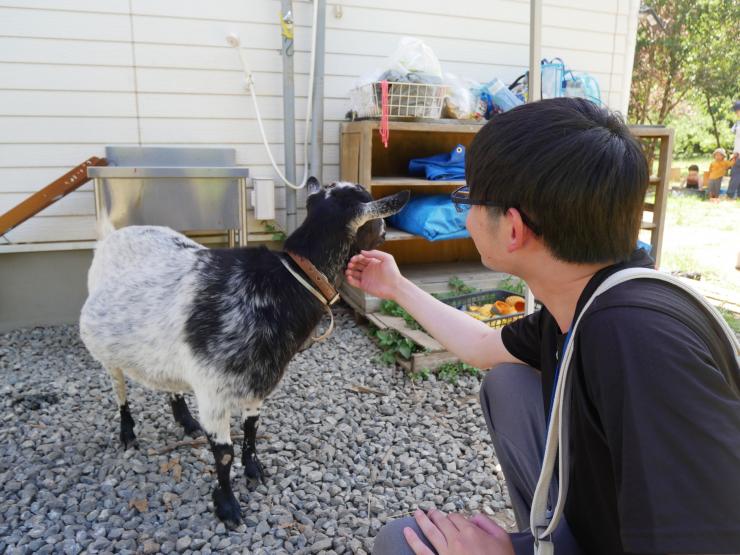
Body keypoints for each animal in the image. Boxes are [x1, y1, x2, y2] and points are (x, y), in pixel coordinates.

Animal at [79, 180, 410, 528]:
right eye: (375, 217)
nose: (386, 232)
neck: (284, 286)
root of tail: (113, 235)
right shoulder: (213, 392)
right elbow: (224, 453)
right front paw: (227, 506)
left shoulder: (256, 381)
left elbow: (252, 429)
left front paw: (254, 470)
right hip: (108, 350)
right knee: (118, 388)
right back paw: (128, 432)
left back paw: (185, 420)